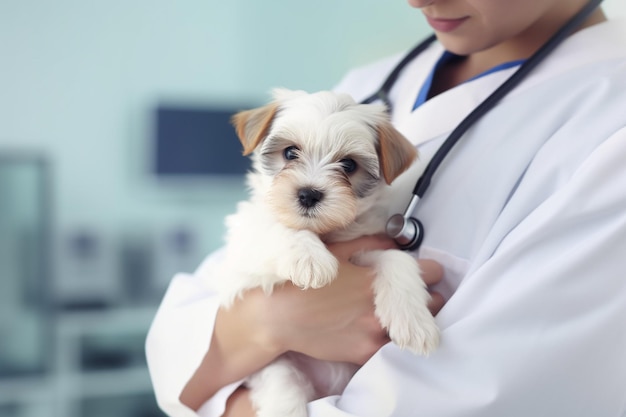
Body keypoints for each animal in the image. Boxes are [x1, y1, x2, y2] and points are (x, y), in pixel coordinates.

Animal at [207, 89, 436, 414]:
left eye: (349, 165)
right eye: (290, 153)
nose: (308, 194)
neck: (324, 234)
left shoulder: (368, 242)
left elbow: (396, 257)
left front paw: (413, 320)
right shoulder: (243, 255)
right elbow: (276, 227)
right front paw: (310, 258)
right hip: (273, 361)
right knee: (282, 381)